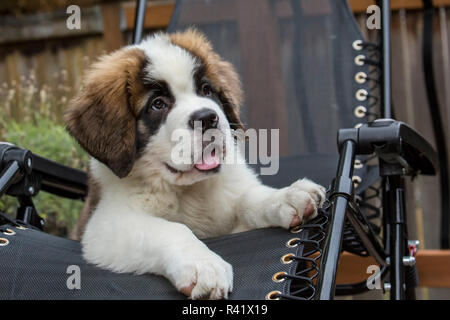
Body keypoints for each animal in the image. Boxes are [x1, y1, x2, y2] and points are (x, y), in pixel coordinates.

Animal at [65, 28, 326, 300]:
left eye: (206, 90)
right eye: (158, 104)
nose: (207, 118)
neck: (189, 190)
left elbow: (247, 199)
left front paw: (286, 196)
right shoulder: (104, 225)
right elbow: (171, 229)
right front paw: (204, 265)